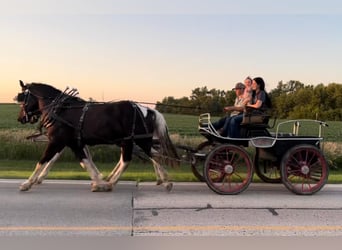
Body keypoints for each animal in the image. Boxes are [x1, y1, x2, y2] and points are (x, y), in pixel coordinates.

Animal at [15, 80, 179, 191]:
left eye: (22, 100)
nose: (20, 118)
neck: (61, 110)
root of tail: (146, 109)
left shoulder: (57, 141)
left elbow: (44, 160)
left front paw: (27, 183)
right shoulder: (73, 143)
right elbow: (85, 162)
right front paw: (98, 179)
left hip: (137, 140)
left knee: (137, 158)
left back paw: (112, 183)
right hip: (130, 141)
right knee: (148, 155)